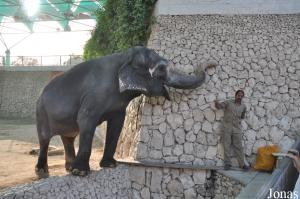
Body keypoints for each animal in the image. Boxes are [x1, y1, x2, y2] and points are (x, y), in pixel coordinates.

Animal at [35, 46, 216, 177]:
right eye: (161, 69)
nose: (213, 64)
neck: (124, 56)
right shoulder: (94, 95)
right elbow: (86, 120)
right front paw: (80, 173)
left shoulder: (118, 104)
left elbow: (117, 124)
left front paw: (110, 165)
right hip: (41, 111)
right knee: (44, 139)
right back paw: (43, 172)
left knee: (68, 138)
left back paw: (69, 167)